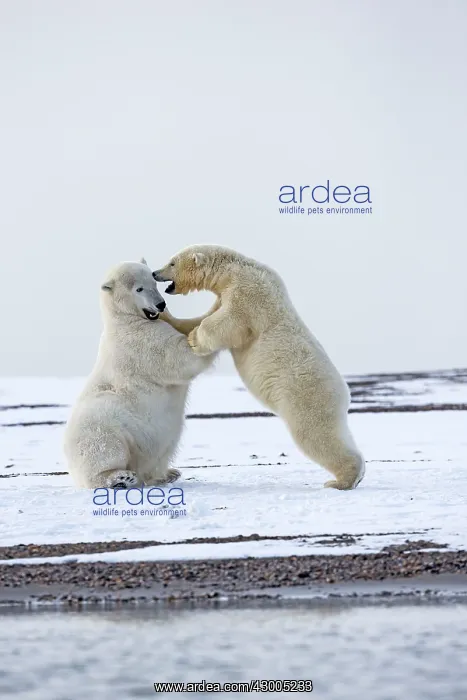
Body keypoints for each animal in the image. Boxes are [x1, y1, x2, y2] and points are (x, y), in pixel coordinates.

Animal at [64, 258, 216, 489]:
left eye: (153, 283)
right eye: (139, 288)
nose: (161, 304)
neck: (124, 318)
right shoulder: (139, 341)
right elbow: (179, 357)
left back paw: (168, 473)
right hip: (102, 426)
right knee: (104, 448)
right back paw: (120, 477)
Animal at [153, 245, 365, 490]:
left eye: (172, 263)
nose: (154, 273)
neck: (233, 270)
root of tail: (345, 393)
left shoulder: (248, 294)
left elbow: (226, 322)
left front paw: (195, 339)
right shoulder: (226, 294)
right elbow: (201, 317)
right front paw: (168, 316)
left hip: (306, 398)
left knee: (313, 435)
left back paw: (340, 481)